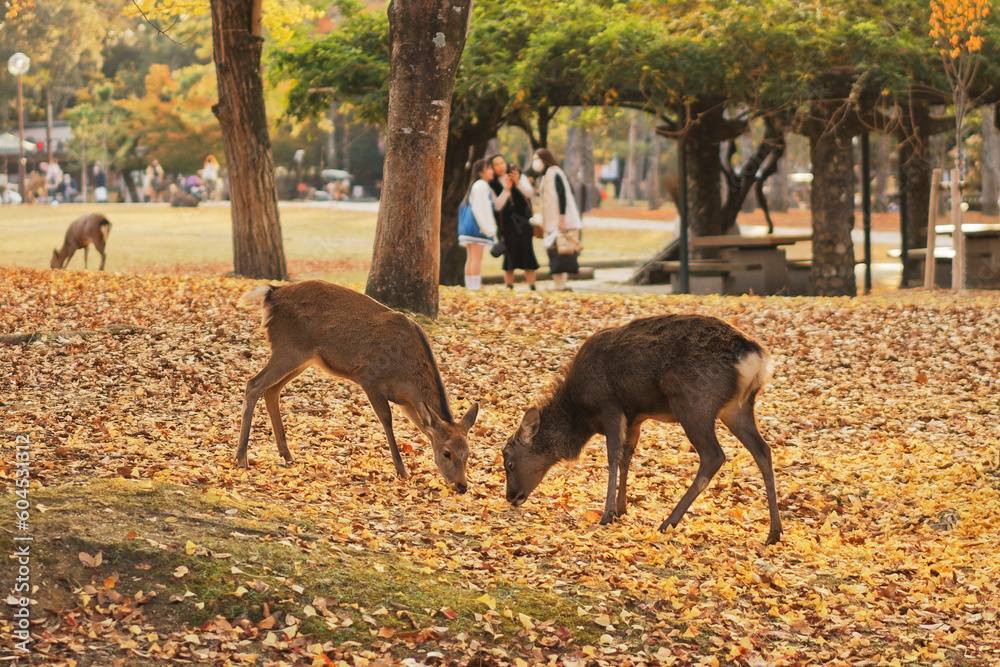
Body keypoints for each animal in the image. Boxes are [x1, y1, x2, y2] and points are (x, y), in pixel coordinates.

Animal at [237, 281, 479, 492]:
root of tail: (271, 293)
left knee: (272, 390)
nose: (462, 486)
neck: (406, 378)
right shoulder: (369, 378)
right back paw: (241, 458)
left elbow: (423, 427)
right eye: (447, 453)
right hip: (288, 348)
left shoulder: (408, 403)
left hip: (303, 358)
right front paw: (402, 470)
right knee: (253, 384)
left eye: (468, 452)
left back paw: (286, 454)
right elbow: (386, 420)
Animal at [501, 314, 782, 545]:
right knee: (763, 450)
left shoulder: (609, 404)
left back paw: (668, 522)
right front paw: (620, 509)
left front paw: (606, 514)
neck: (579, 413)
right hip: (737, 407)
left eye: (509, 462)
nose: (511, 496)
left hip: (694, 402)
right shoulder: (635, 417)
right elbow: (627, 457)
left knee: (714, 456)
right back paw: (774, 532)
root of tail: (756, 358)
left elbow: (612, 456)